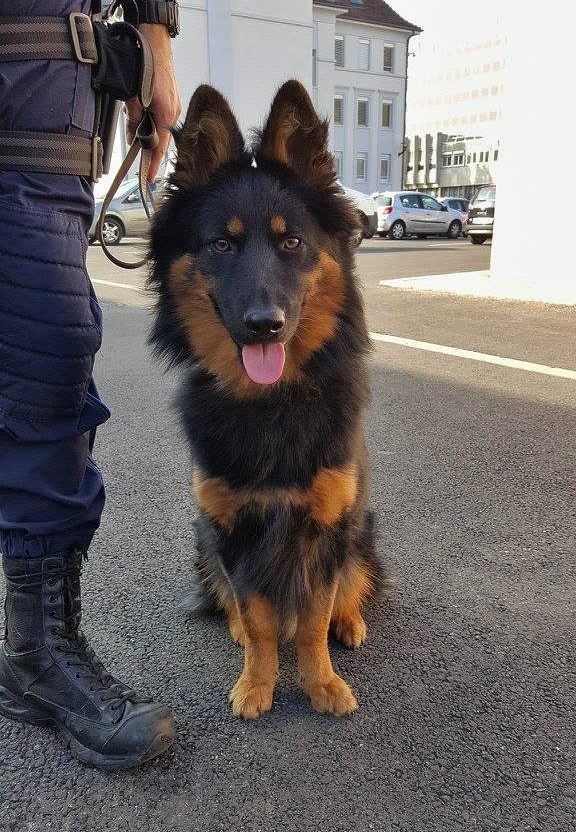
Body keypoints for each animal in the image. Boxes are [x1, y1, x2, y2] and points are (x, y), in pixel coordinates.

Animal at [148, 80, 383, 719]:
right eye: (221, 244)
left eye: (291, 241)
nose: (264, 326)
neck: (272, 404)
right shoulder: (230, 528)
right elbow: (256, 619)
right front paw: (257, 683)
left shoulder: (328, 525)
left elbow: (314, 616)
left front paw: (322, 683)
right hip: (203, 541)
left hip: (363, 530)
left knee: (354, 585)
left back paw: (350, 624)